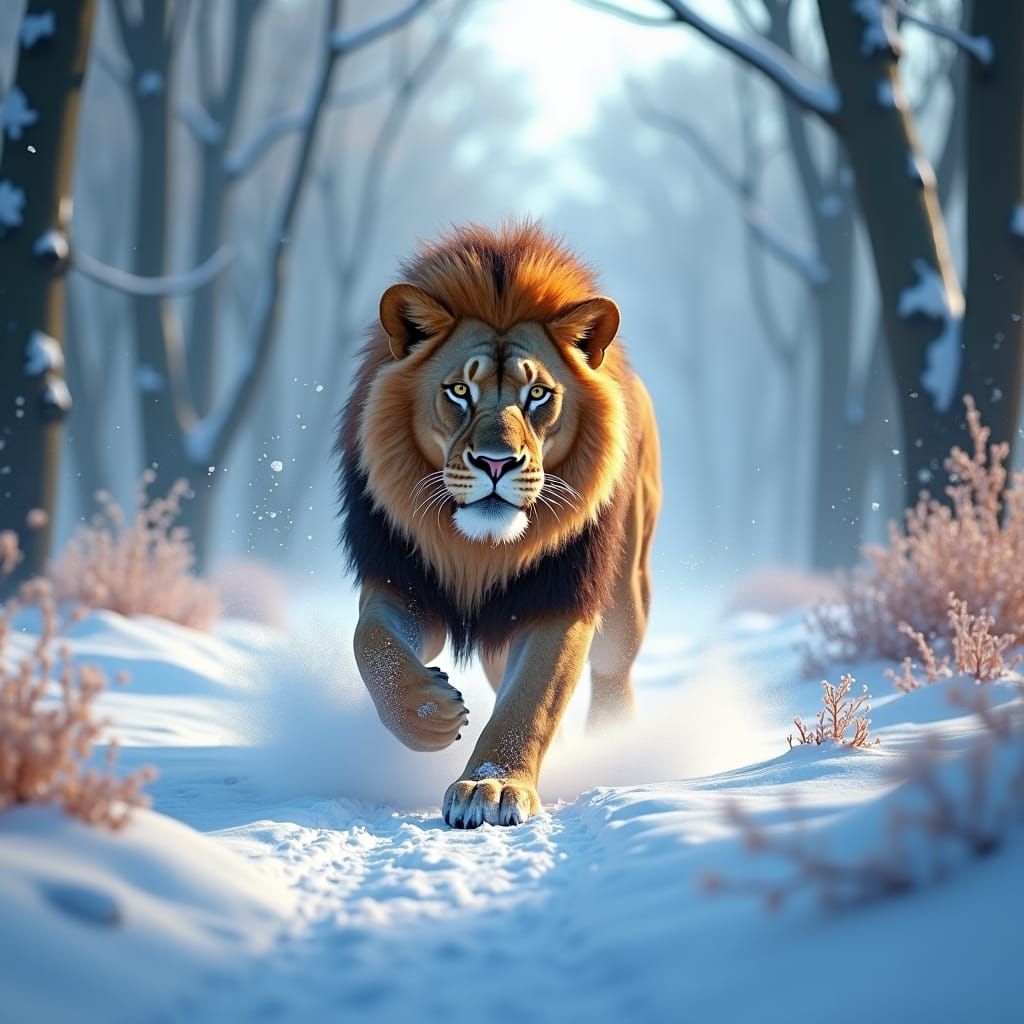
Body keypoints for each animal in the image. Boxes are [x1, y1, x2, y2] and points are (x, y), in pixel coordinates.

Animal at [336, 221, 661, 828]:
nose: (495, 463)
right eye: (459, 391)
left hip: (626, 595)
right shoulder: (403, 579)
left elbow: (531, 700)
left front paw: (492, 786)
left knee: (613, 671)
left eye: (538, 395)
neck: (480, 550)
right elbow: (371, 642)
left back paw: (615, 744)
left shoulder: (559, 596)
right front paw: (431, 711)